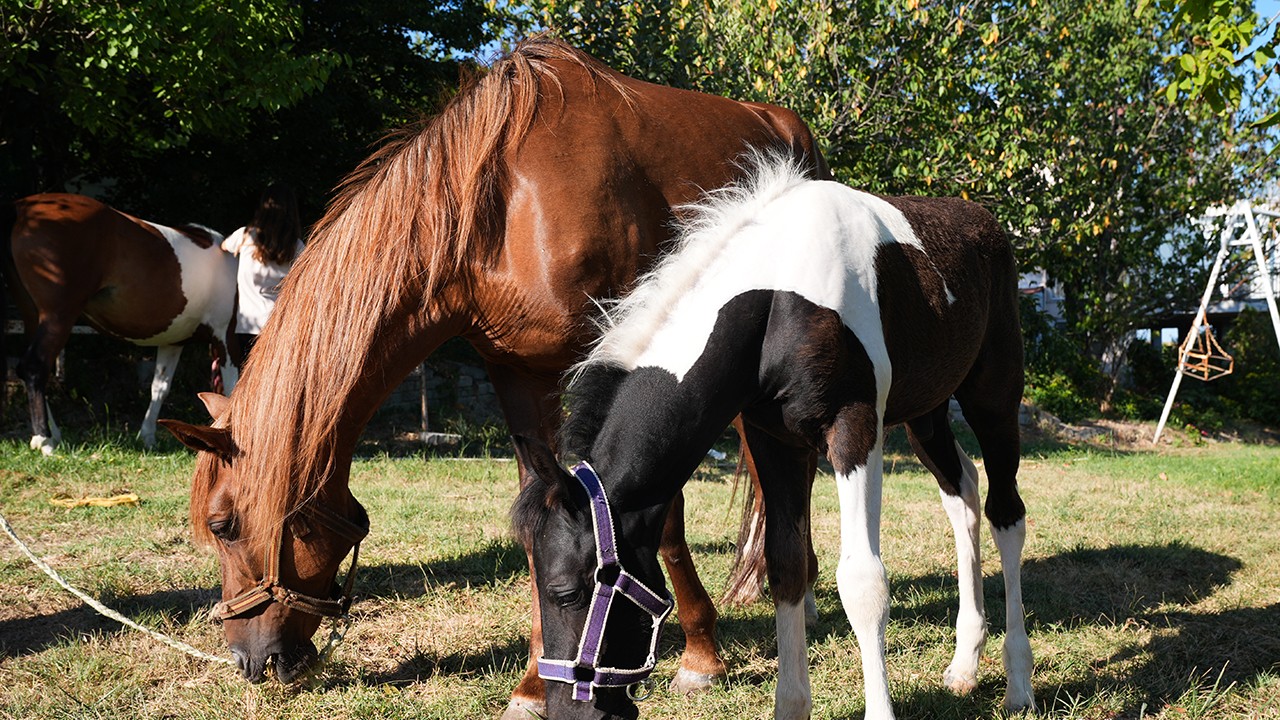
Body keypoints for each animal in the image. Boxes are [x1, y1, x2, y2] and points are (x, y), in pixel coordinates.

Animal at [2, 193, 239, 450]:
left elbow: (160, 387)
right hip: (58, 317)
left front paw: (148, 436)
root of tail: (22, 208)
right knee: (34, 366)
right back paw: (44, 439)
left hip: (33, 316)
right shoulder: (224, 336)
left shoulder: (174, 342)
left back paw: (53, 433)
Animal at [154, 39, 829, 717]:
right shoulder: (519, 373)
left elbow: (658, 515)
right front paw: (533, 683)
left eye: (223, 525)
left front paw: (700, 654)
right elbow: (542, 513)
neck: (501, 206)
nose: (248, 661)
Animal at [512, 156, 1039, 717]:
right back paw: (964, 666)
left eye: (566, 593)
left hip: (993, 401)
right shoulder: (773, 439)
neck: (779, 294)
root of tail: (986, 224)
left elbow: (862, 581)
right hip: (927, 416)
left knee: (1006, 513)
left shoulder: (854, 430)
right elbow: (785, 565)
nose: (568, 710)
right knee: (963, 494)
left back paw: (1019, 684)